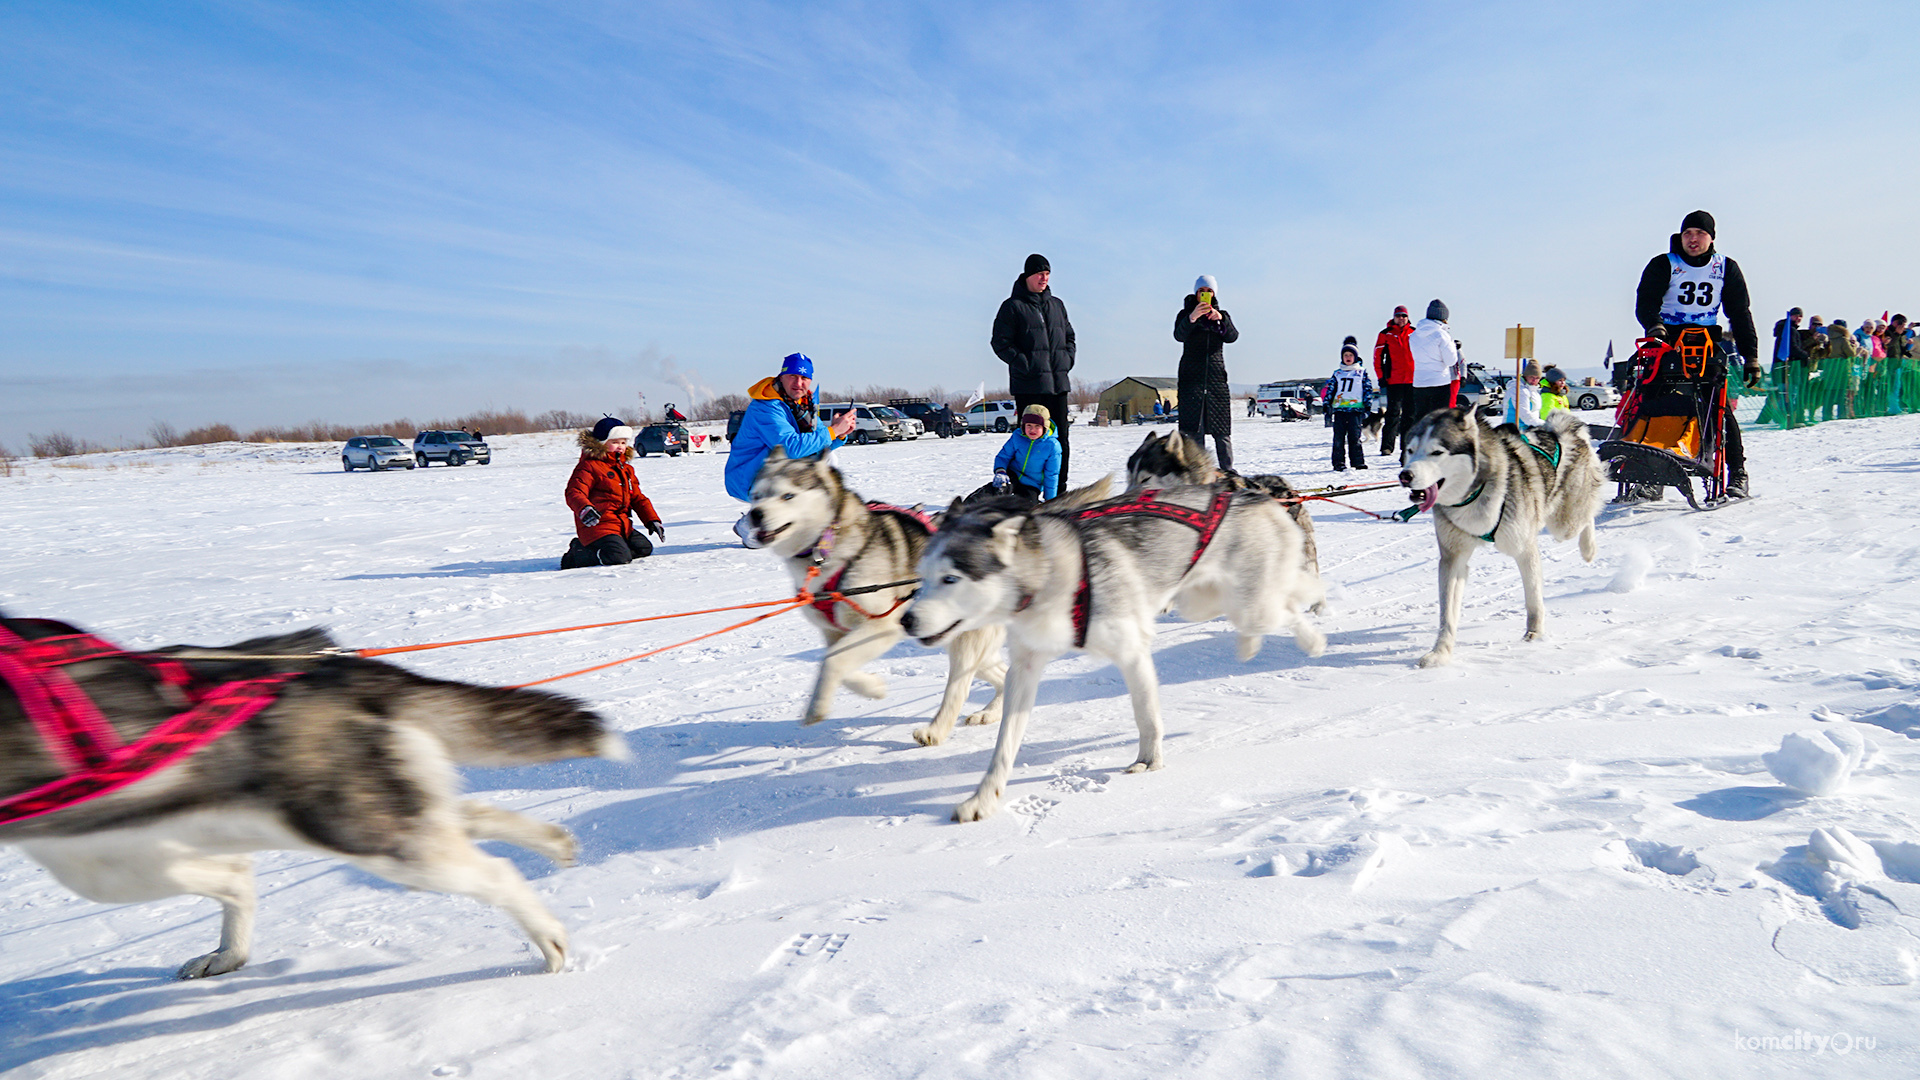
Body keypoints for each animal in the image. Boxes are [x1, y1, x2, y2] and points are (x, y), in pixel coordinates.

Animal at [894, 478, 1320, 814]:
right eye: (924, 575)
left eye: (951, 578)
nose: (906, 620)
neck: (1055, 575)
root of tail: (1253, 495)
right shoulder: (1025, 667)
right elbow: (1004, 746)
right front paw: (982, 799)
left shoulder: (1132, 653)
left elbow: (1146, 716)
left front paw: (1148, 762)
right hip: (1204, 601)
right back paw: (1251, 645)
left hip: (1247, 603)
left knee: (1287, 605)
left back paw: (1313, 638)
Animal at [1397, 407, 1605, 668]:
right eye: (1410, 450)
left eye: (1437, 452)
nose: (1405, 475)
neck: (1475, 493)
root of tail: (1559, 429)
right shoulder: (1453, 558)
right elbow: (1447, 614)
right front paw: (1441, 652)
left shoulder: (1524, 548)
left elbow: (1533, 598)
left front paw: (1534, 634)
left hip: (1564, 523)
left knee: (1588, 514)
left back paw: (1589, 548)